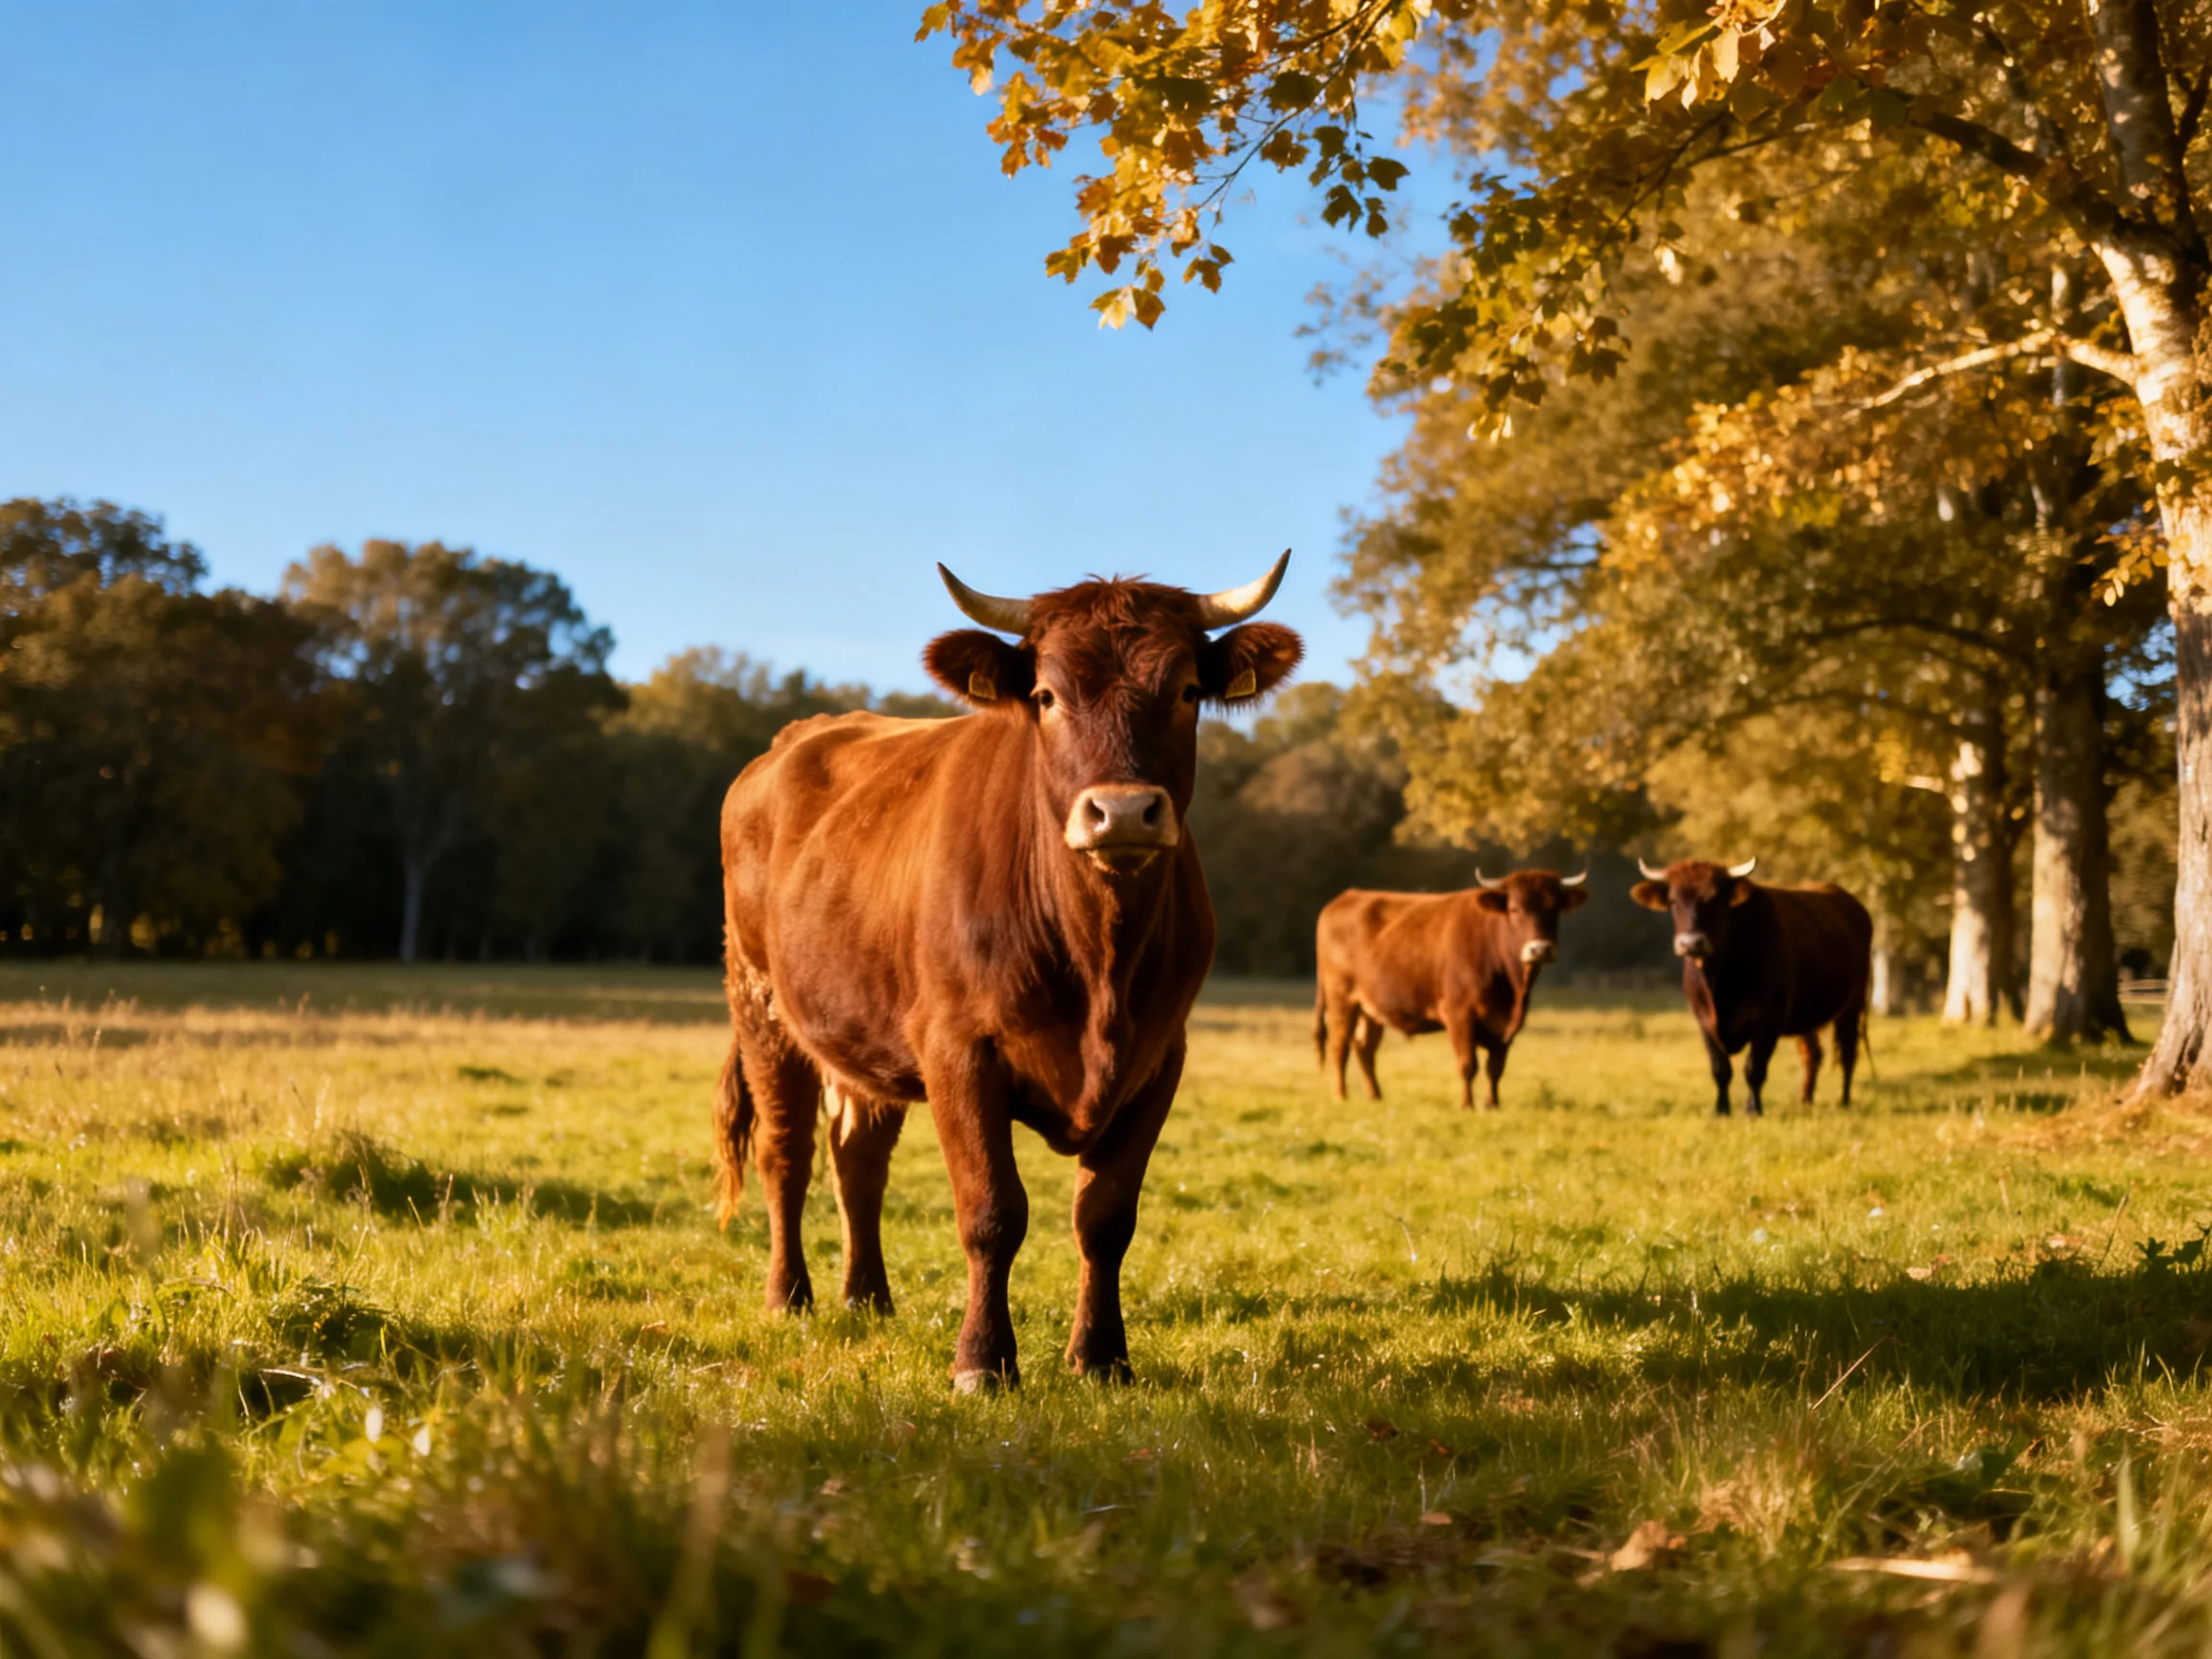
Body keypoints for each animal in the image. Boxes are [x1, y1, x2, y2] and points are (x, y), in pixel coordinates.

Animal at [714, 556, 1302, 1391]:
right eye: (1048, 696)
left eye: (1189, 690)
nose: (1124, 812)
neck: (1098, 960)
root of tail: (797, 737)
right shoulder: (959, 1050)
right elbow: (992, 1212)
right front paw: (983, 1362)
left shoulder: (1160, 1058)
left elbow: (1105, 1217)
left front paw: (1101, 1356)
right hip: (761, 1004)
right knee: (786, 1153)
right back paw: (789, 1296)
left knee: (857, 1159)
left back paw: (867, 1300)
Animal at [1313, 869, 1589, 1110]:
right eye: (1514, 909)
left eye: (1554, 909)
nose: (1540, 949)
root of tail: (1347, 897)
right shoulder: (1459, 1014)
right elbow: (1468, 1064)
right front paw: (1467, 1105)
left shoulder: (1507, 1025)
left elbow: (1496, 1067)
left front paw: (1492, 1104)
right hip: (1341, 998)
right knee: (1340, 1046)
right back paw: (1341, 1096)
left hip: (1370, 1008)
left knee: (1365, 1048)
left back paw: (1375, 1096)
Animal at [1629, 857, 1873, 1117]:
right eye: (1674, 900)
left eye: (1715, 899)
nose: (1691, 943)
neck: (1720, 982)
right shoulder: (1703, 1019)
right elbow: (1720, 1068)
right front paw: (1721, 1110)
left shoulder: (1768, 1018)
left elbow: (1754, 1067)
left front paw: (1753, 1109)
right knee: (1813, 1054)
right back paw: (1805, 1100)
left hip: (1852, 1005)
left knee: (1848, 1052)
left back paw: (1844, 1101)